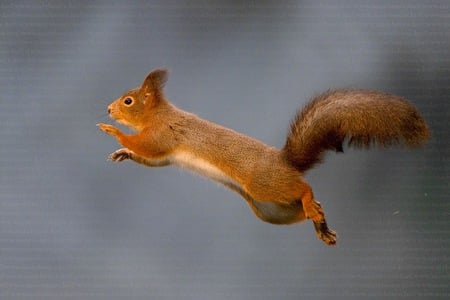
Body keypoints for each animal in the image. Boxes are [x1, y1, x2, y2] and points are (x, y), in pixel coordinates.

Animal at [97, 68, 428, 246]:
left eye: (129, 101)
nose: (109, 109)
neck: (158, 115)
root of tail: (286, 163)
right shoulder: (163, 153)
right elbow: (151, 159)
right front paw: (123, 152)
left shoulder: (162, 134)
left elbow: (146, 146)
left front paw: (114, 132)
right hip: (271, 209)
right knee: (306, 207)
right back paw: (320, 223)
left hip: (264, 185)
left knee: (304, 188)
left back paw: (312, 204)